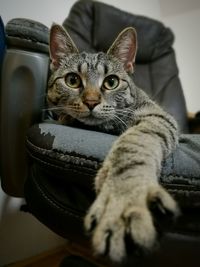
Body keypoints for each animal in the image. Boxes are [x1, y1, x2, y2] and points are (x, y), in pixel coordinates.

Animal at [47, 24, 180, 262]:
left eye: (111, 82)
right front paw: (66, 117)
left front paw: (124, 194)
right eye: (72, 80)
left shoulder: (156, 116)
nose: (91, 101)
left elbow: (132, 146)